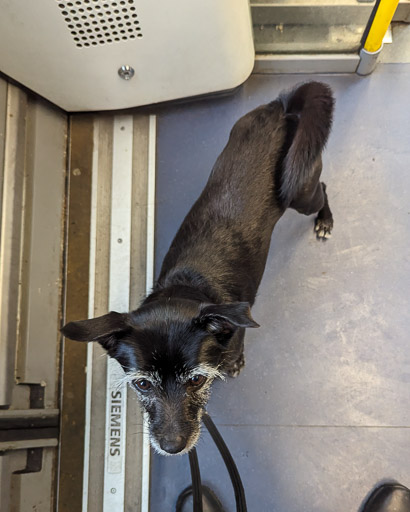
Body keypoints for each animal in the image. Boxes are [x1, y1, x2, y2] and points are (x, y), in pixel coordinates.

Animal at [62, 81, 334, 456]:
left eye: (197, 379)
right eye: (143, 384)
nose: (172, 447)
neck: (187, 286)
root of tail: (280, 107)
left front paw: (236, 362)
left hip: (302, 189)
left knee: (322, 189)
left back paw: (325, 221)